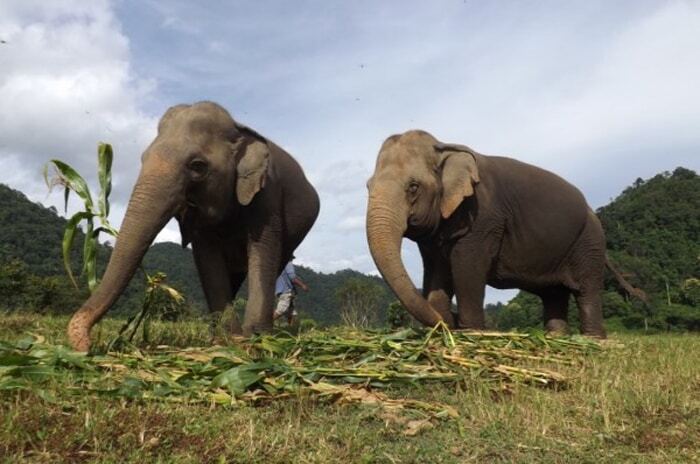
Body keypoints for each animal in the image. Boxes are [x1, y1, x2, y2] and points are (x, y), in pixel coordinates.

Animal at [67, 99, 318, 350]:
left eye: (197, 166)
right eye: (142, 158)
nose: (86, 345)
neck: (238, 130)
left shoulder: (268, 194)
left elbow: (262, 249)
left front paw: (255, 341)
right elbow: (208, 257)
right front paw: (227, 340)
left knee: (275, 264)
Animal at [366, 130, 644, 338]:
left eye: (413, 187)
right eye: (368, 186)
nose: (450, 321)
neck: (444, 147)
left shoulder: (483, 218)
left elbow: (467, 266)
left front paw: (472, 332)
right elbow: (436, 272)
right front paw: (445, 326)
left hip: (589, 242)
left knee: (586, 290)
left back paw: (592, 340)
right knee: (554, 294)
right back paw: (555, 337)